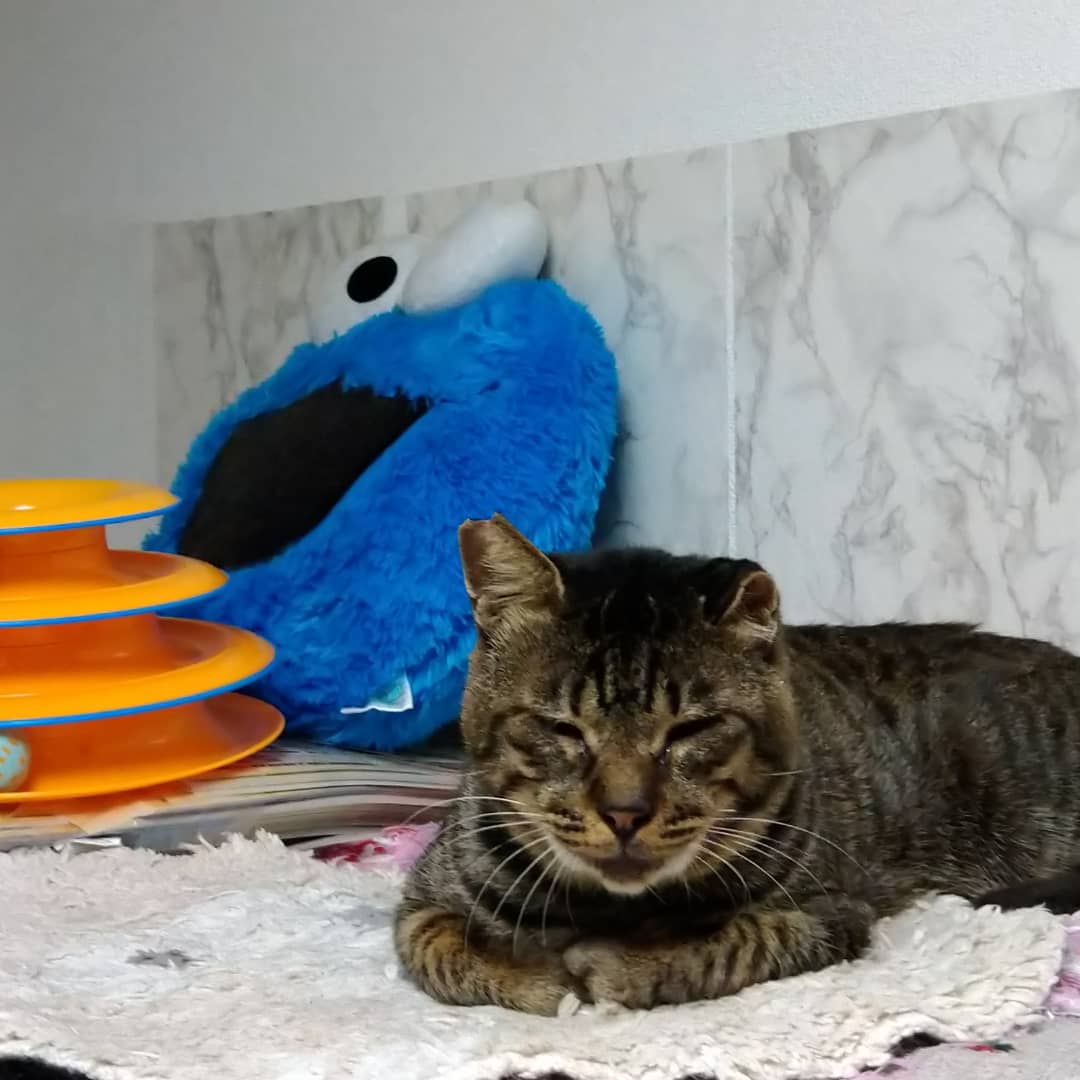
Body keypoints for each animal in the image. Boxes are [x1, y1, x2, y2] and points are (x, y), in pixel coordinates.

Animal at [395, 514, 1080, 1014]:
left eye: (690, 730)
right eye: (561, 728)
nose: (624, 812)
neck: (612, 906)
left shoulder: (829, 912)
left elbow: (730, 939)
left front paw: (616, 963)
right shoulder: (420, 901)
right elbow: (440, 946)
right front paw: (538, 976)